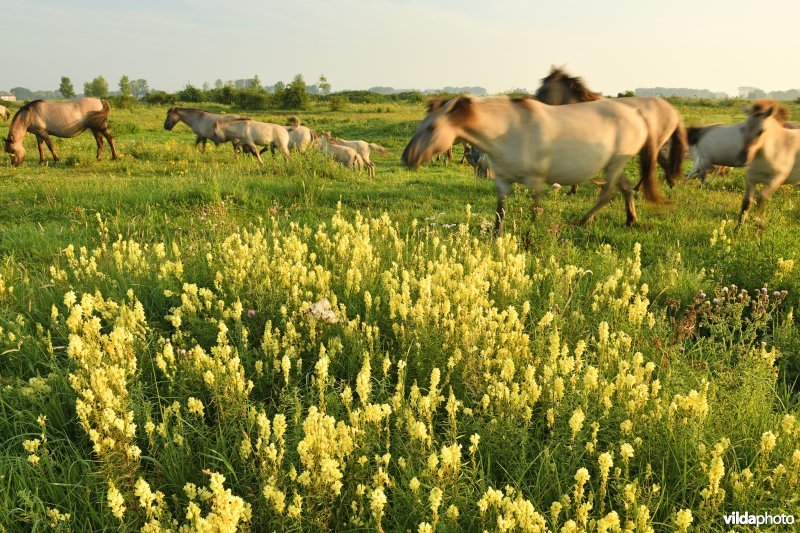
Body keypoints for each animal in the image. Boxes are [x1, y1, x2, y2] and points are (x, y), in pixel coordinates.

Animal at [400, 95, 656, 233]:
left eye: (432, 128)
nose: (406, 158)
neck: (506, 131)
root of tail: (637, 115)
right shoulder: (502, 182)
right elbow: (499, 213)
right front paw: (495, 239)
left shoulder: (536, 181)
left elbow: (535, 212)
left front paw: (530, 240)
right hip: (614, 164)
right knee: (625, 189)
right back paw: (630, 220)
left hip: (615, 164)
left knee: (607, 194)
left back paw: (581, 222)